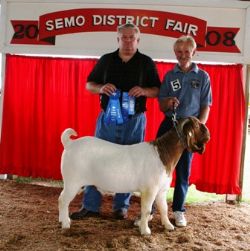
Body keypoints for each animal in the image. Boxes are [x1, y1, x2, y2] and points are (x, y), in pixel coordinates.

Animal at [58, 116, 209, 234]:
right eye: (197, 125)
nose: (208, 132)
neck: (163, 153)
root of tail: (70, 143)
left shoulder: (161, 190)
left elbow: (164, 209)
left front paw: (168, 226)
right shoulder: (150, 190)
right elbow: (146, 210)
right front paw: (145, 230)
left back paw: (62, 219)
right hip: (72, 182)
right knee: (63, 200)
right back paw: (65, 223)